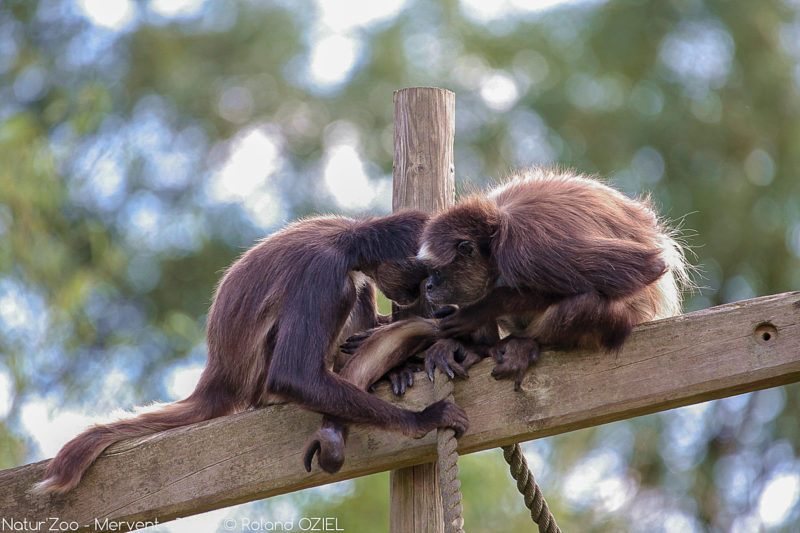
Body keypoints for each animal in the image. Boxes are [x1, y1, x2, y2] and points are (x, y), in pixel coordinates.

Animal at [32, 210, 468, 492]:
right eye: (426, 276)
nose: (426, 293)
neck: (347, 236)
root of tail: (219, 379)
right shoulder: (323, 272)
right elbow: (292, 375)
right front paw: (424, 419)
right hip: (264, 372)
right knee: (347, 293)